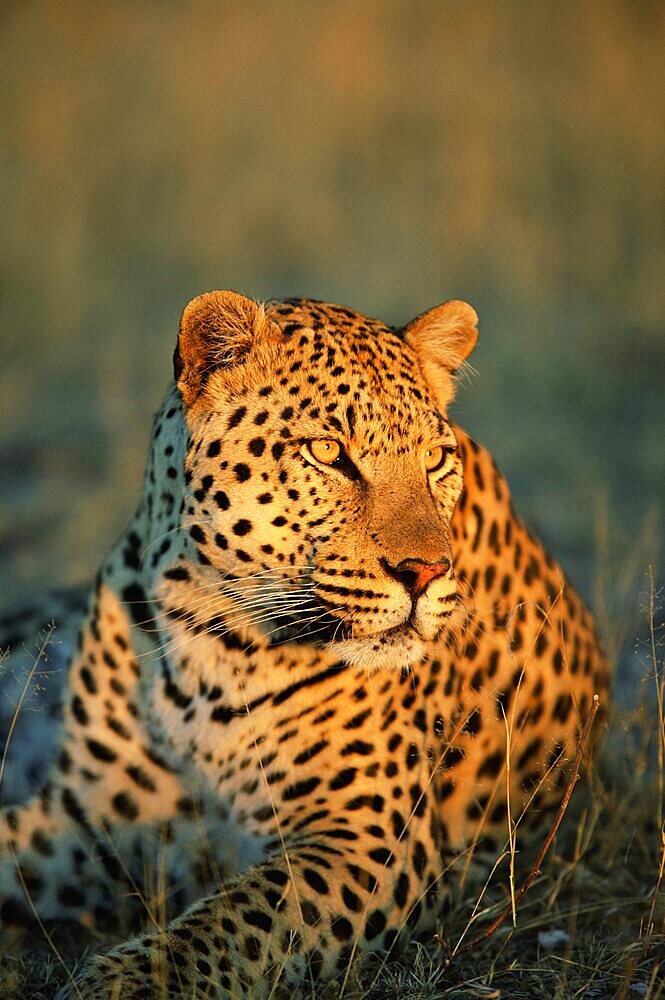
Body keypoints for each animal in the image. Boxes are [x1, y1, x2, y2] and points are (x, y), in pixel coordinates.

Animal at [0, 292, 608, 1000]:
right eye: (328, 451)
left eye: (435, 459)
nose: (426, 571)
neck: (207, 628)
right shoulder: (90, 818)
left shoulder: (367, 838)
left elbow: (228, 926)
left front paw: (122, 981)